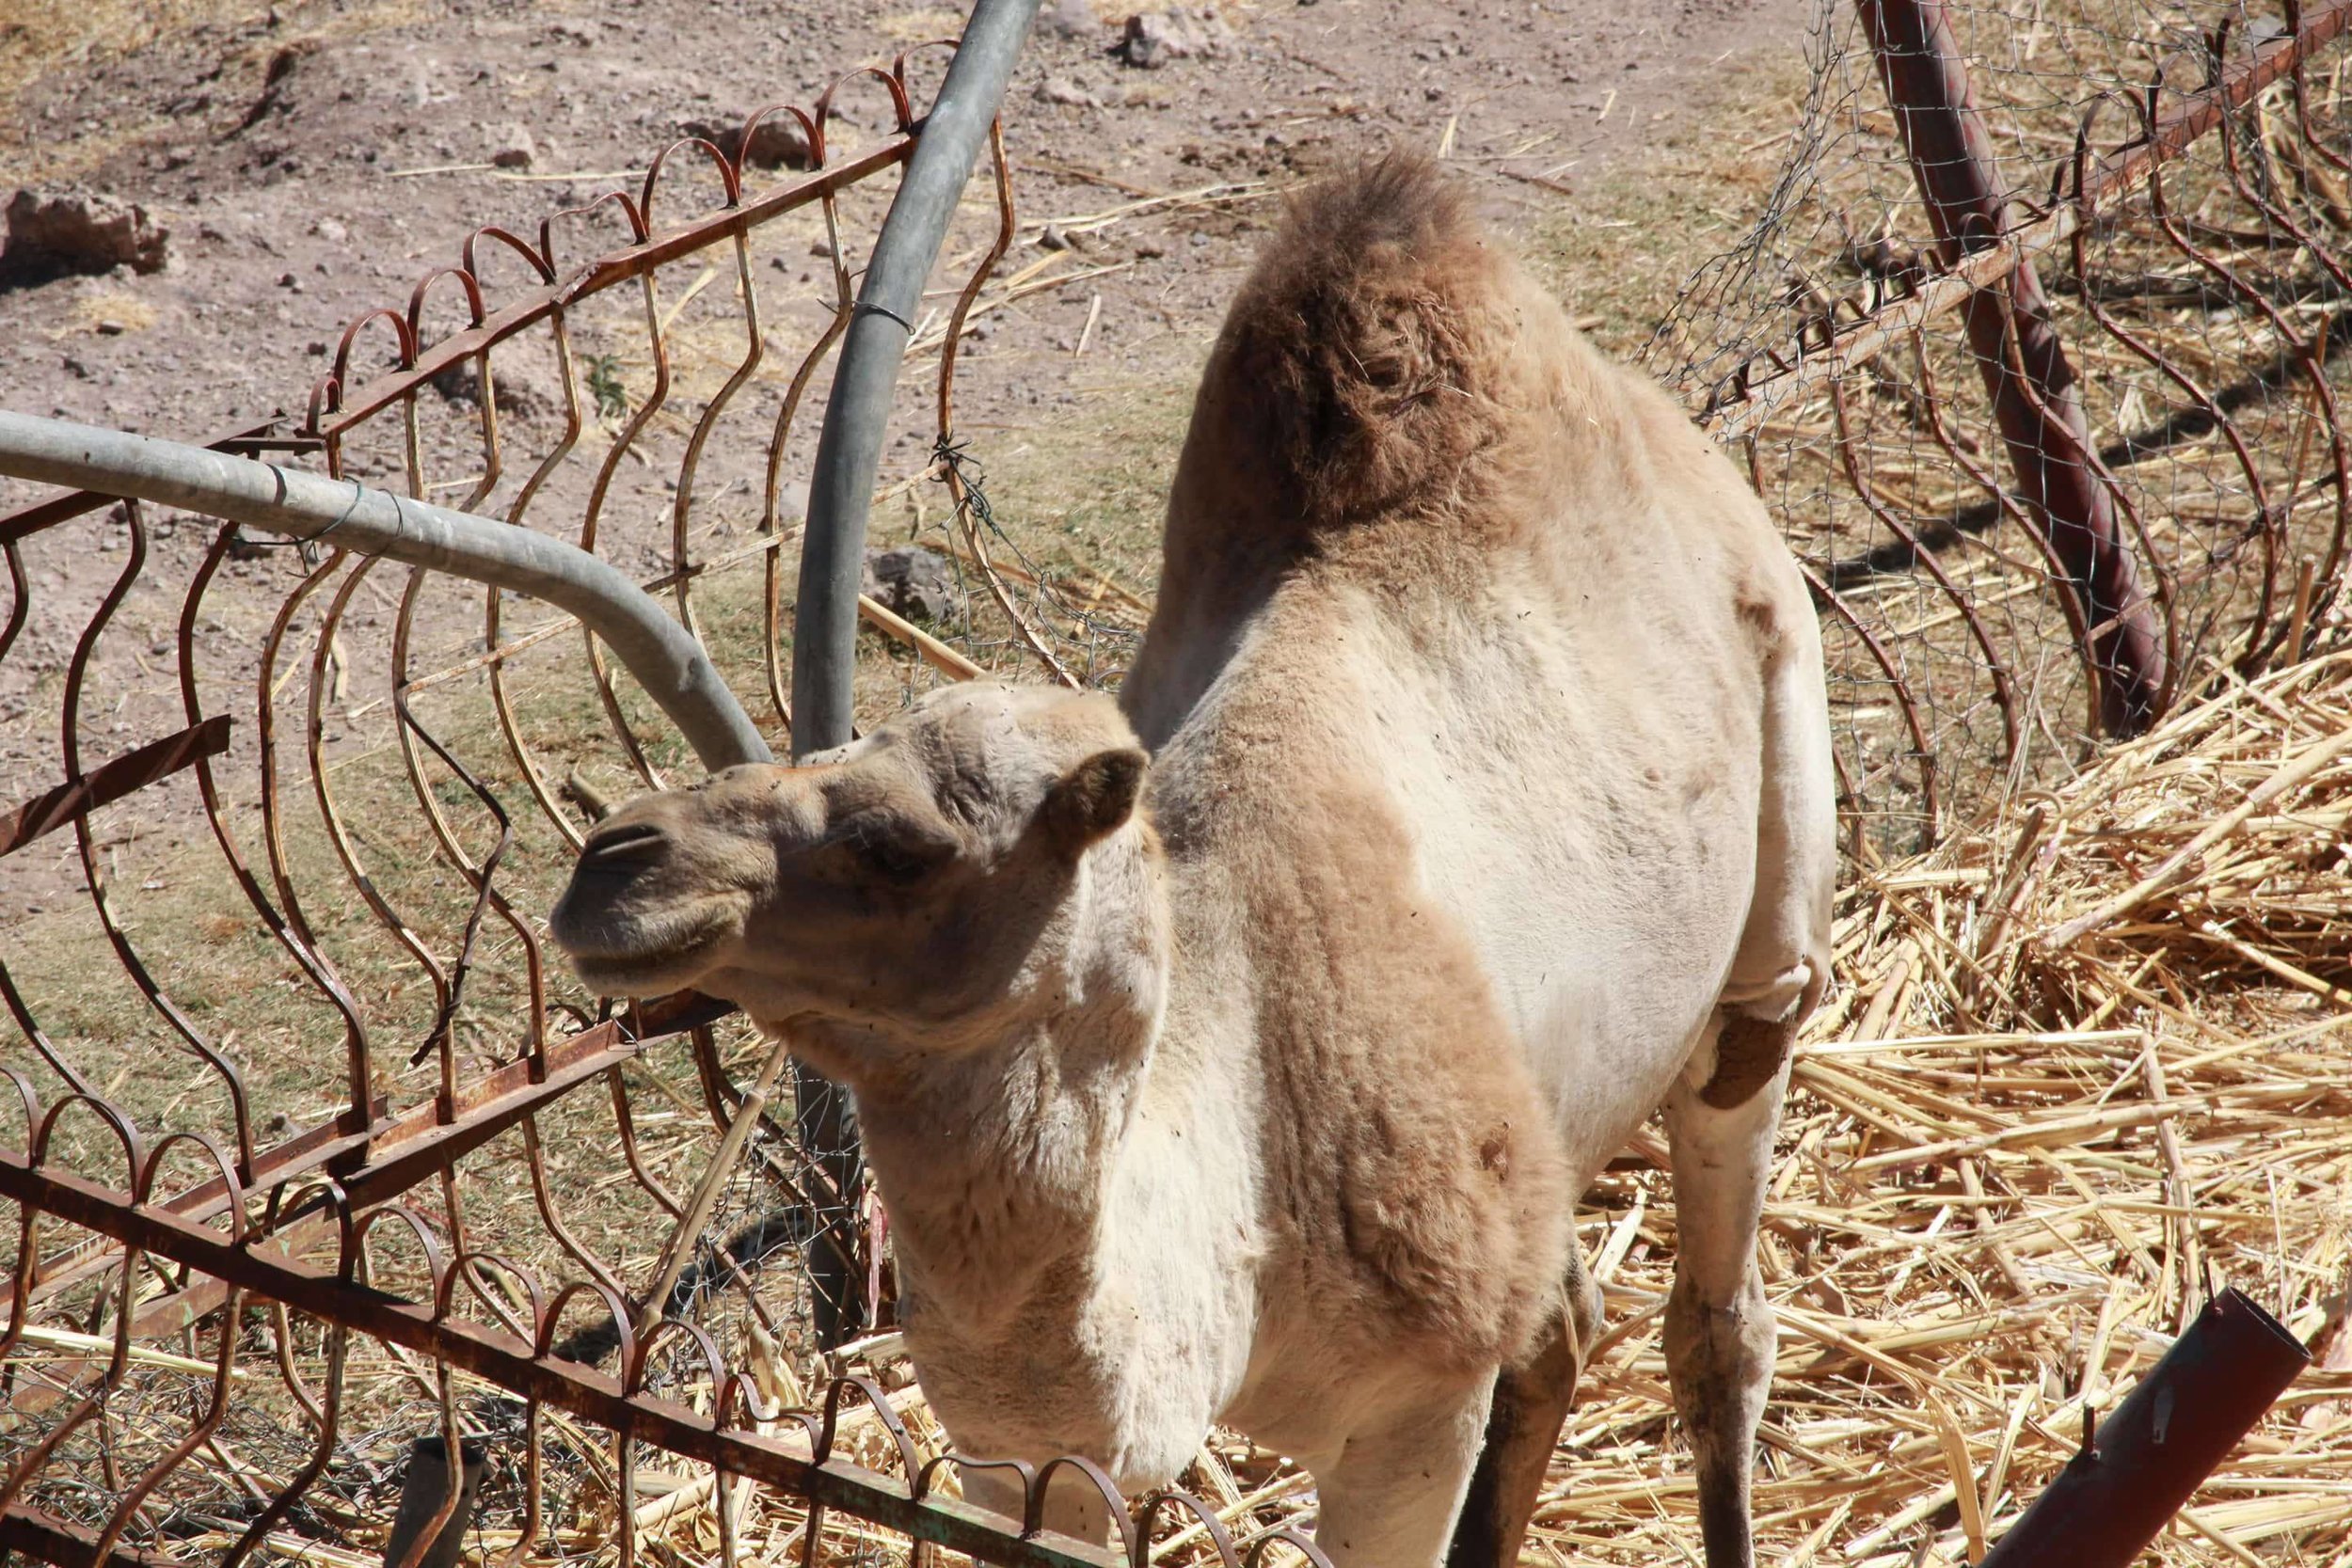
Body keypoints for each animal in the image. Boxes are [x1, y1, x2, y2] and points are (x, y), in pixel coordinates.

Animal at [550, 156, 1835, 1568]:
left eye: (900, 846)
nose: (611, 862)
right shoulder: (1028, 1459)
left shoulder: (1413, 1408)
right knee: (1562, 1324)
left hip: (1775, 775)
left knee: (1723, 1263)